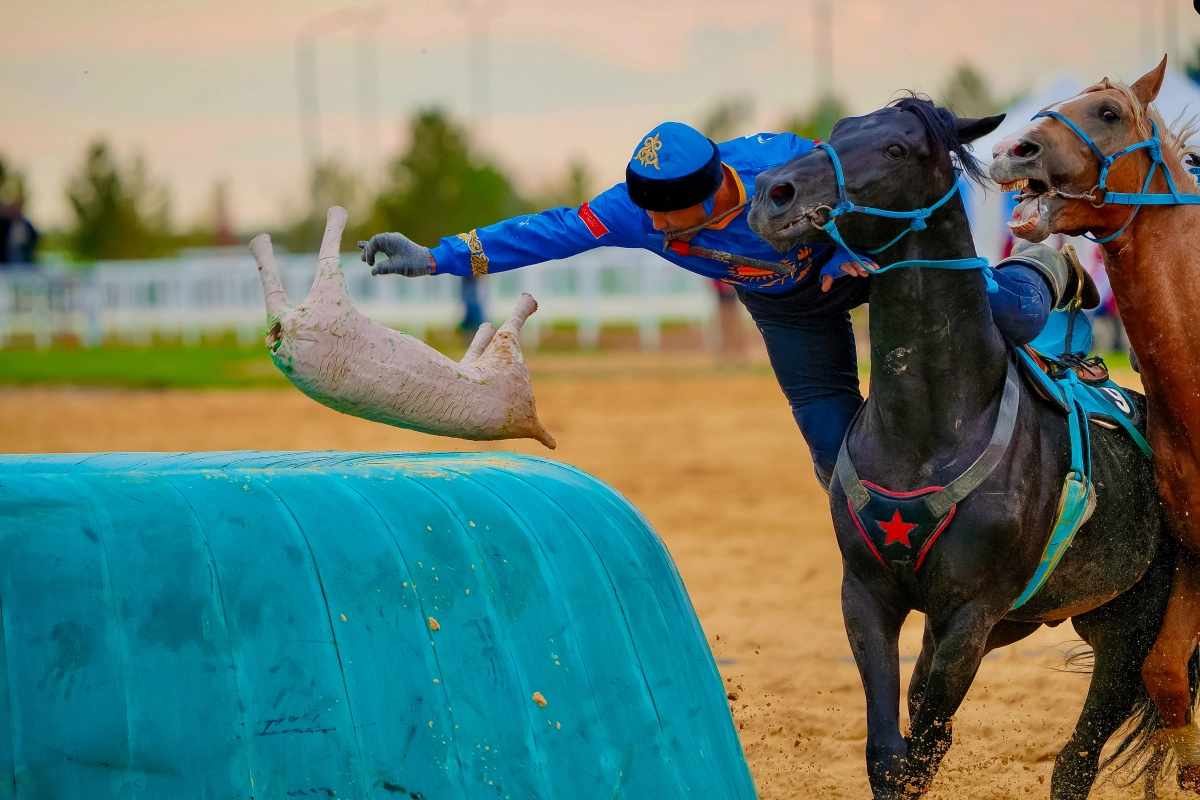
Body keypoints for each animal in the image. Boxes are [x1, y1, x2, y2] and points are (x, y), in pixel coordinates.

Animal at [744, 100, 1185, 800]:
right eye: (838, 131)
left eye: (897, 149)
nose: (772, 191)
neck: (929, 430)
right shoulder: (867, 595)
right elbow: (893, 753)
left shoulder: (969, 616)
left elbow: (923, 745)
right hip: (1025, 620)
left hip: (1128, 632)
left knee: (1076, 759)